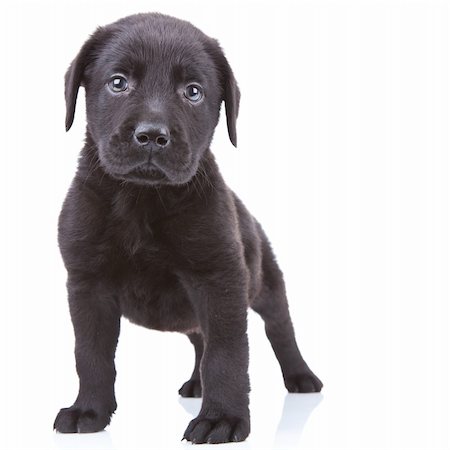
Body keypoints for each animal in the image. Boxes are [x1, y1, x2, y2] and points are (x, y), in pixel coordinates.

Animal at [54, 13, 322, 442]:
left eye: (193, 92)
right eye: (118, 82)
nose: (151, 135)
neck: (141, 200)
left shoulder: (220, 280)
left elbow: (227, 354)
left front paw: (222, 418)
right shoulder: (87, 284)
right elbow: (91, 354)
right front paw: (89, 410)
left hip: (266, 282)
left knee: (279, 329)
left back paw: (300, 376)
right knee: (199, 339)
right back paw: (196, 385)